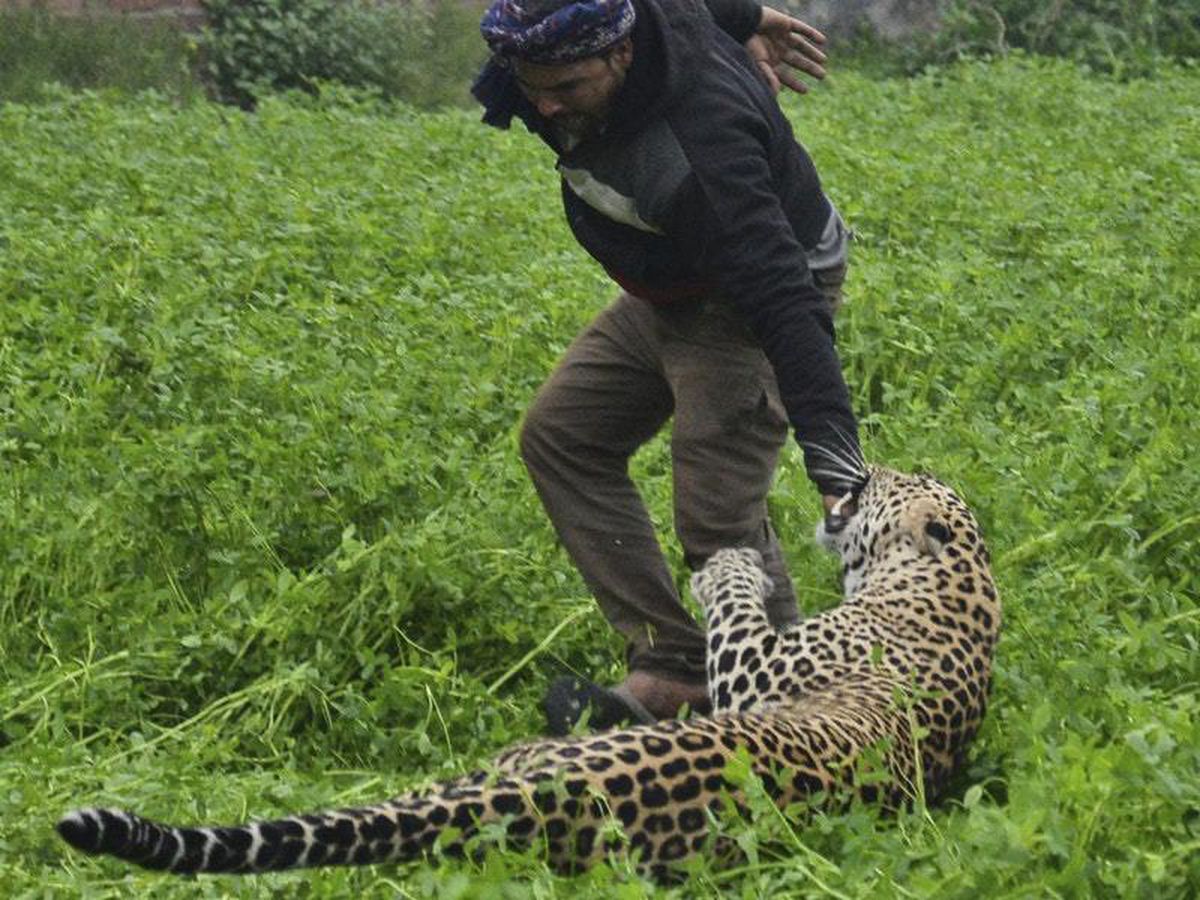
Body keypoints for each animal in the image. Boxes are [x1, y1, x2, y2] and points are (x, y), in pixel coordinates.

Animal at [56, 460, 998, 878]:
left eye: (896, 479)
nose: (861, 467)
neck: (954, 580)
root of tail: (554, 796)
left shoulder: (763, 670)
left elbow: (736, 612)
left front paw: (726, 564)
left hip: (508, 763)